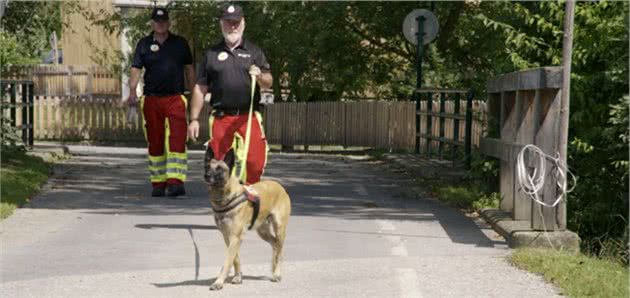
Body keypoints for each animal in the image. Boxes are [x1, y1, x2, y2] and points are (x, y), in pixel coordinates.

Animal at [204, 149, 292, 292]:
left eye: (219, 169)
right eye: (207, 166)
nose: (206, 175)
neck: (226, 197)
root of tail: (279, 186)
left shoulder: (235, 237)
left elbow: (227, 261)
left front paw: (219, 282)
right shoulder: (228, 237)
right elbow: (235, 259)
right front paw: (238, 277)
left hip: (279, 229)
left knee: (279, 250)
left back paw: (277, 274)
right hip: (263, 232)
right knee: (275, 245)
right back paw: (273, 269)